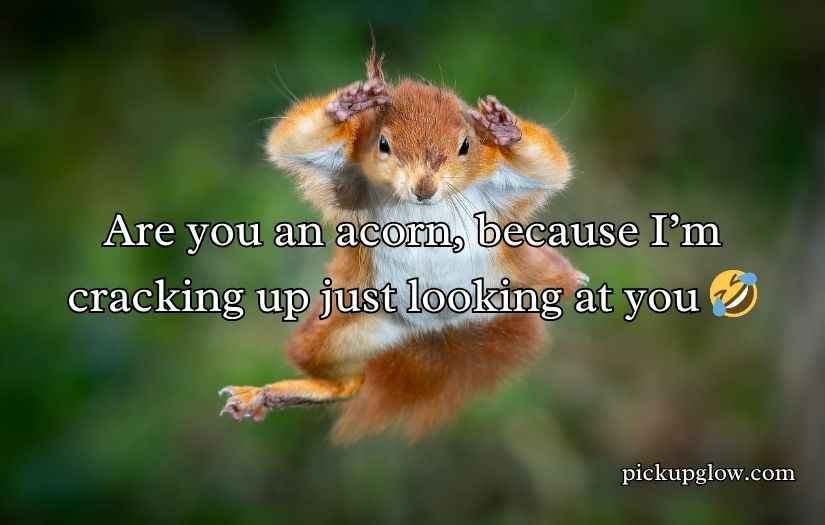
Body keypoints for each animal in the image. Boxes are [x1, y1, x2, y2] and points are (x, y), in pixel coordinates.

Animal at [219, 46, 585, 442]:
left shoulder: (499, 182)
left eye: (465, 146)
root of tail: (437, 329)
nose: (424, 188)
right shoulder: (347, 176)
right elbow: (292, 142)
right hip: (342, 330)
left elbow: (550, 166)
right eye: (383, 143)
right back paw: (267, 395)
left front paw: (504, 128)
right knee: (346, 383)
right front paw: (347, 103)